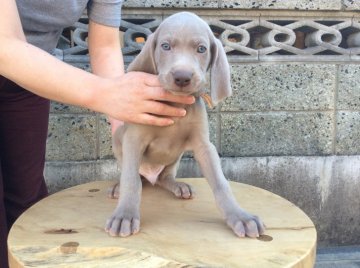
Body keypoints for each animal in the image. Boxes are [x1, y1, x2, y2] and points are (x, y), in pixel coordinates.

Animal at [104, 11, 264, 239]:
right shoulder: (134, 140)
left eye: (201, 49)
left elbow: (221, 183)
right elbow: (130, 181)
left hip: (174, 159)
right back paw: (118, 187)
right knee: (137, 177)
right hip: (119, 139)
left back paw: (177, 185)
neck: (176, 103)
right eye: (165, 46)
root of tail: (150, 176)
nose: (182, 77)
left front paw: (240, 217)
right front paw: (124, 215)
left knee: (164, 177)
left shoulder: (204, 146)